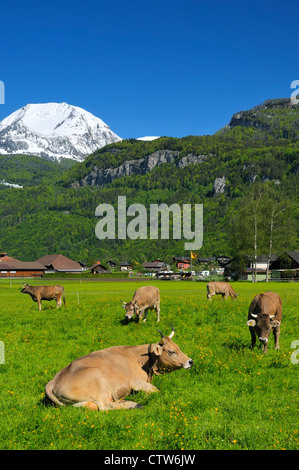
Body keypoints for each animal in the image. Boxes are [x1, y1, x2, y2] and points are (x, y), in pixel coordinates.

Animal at [45, 326, 193, 412]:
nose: (190, 361)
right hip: (98, 380)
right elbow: (157, 391)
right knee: (104, 407)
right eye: (171, 351)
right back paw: (134, 404)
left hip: (79, 402)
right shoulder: (137, 383)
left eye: (178, 348)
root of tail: (53, 380)